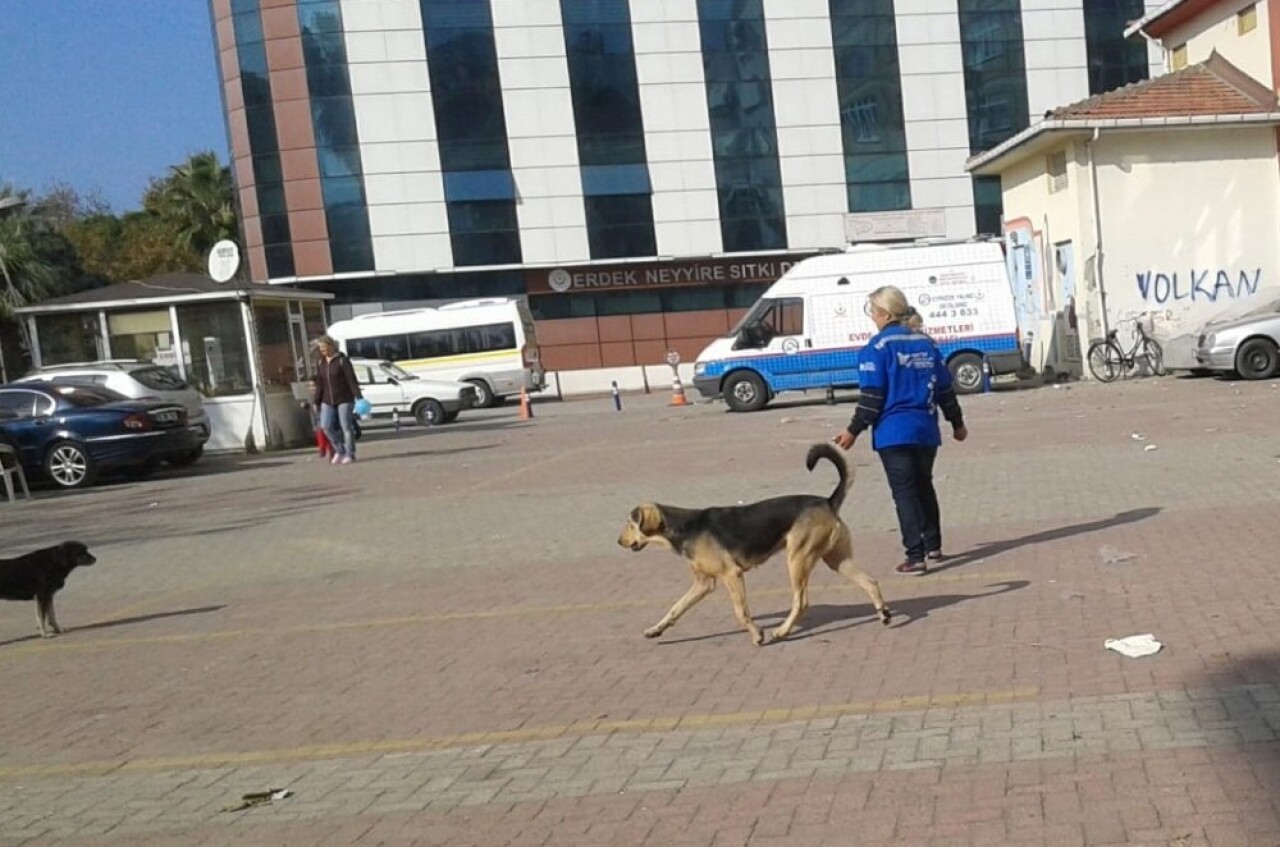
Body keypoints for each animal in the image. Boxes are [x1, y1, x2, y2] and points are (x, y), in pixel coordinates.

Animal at [619, 447, 890, 647]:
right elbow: (675, 609)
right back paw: (884, 613)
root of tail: (827, 502)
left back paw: (781, 632)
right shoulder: (703, 584)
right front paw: (655, 630)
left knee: (801, 601)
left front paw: (757, 635)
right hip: (836, 560)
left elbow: (741, 612)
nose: (619, 542)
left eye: (630, 523)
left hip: (797, 559)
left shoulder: (732, 575)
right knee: (870, 581)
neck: (684, 528)